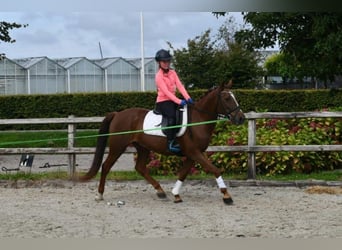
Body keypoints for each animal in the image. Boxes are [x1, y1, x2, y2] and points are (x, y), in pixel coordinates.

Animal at [79, 81, 244, 204]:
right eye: (227, 99)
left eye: (234, 97)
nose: (241, 118)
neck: (198, 120)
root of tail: (118, 114)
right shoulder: (194, 152)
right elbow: (215, 170)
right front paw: (226, 196)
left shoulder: (193, 154)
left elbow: (183, 173)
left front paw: (176, 194)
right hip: (117, 146)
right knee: (106, 166)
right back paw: (99, 195)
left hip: (143, 147)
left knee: (140, 168)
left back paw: (160, 191)